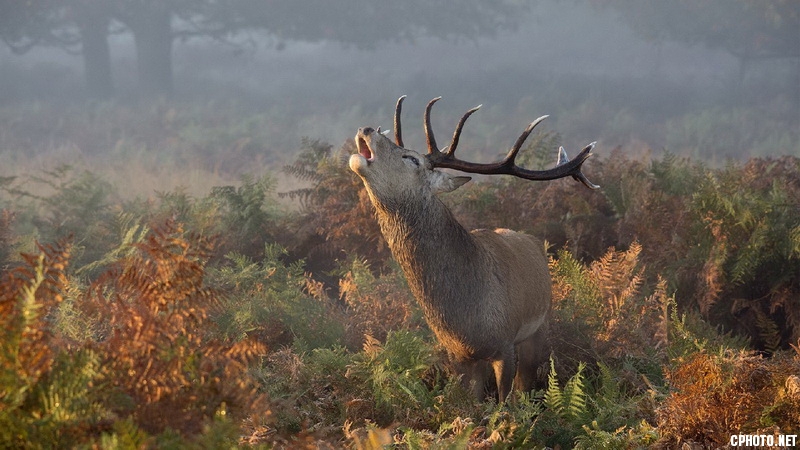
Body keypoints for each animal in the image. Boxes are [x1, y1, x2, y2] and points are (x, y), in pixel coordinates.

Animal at [349, 96, 598, 401]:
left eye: (412, 158)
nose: (366, 128)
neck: (466, 315)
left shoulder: (505, 343)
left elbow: (505, 402)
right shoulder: (457, 355)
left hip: (540, 325)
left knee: (525, 382)